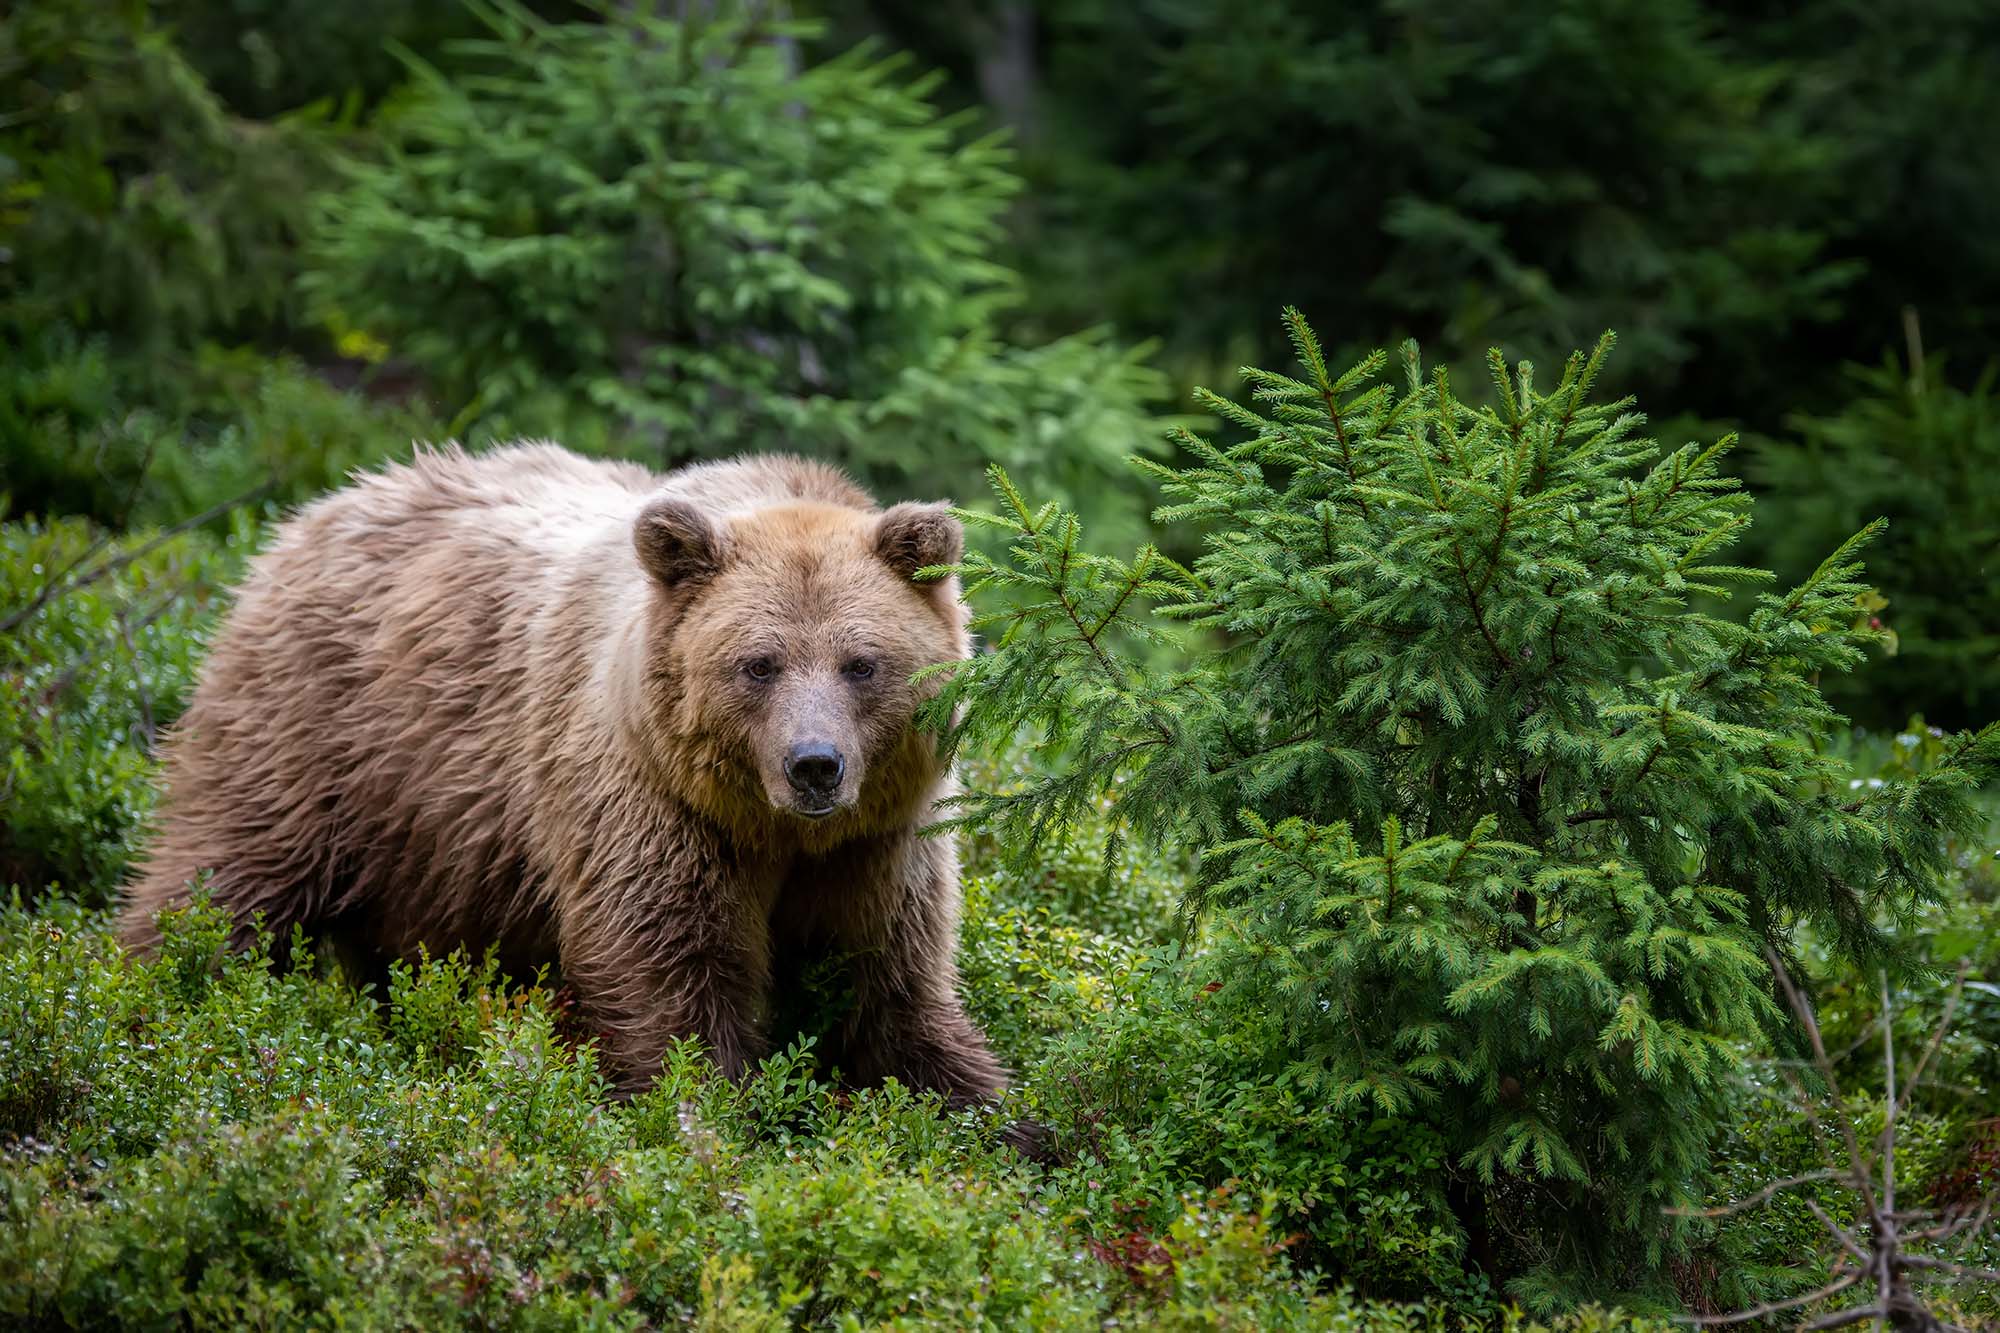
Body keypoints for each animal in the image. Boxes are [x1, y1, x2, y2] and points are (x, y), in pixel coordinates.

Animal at [120, 442, 1008, 1105]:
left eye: (862, 663)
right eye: (758, 663)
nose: (814, 765)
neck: (771, 829)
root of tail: (315, 510)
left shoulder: (880, 841)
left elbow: (891, 984)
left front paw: (990, 1112)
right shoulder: (649, 804)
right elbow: (668, 972)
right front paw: (703, 1111)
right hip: (322, 737)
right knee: (225, 875)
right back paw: (154, 993)